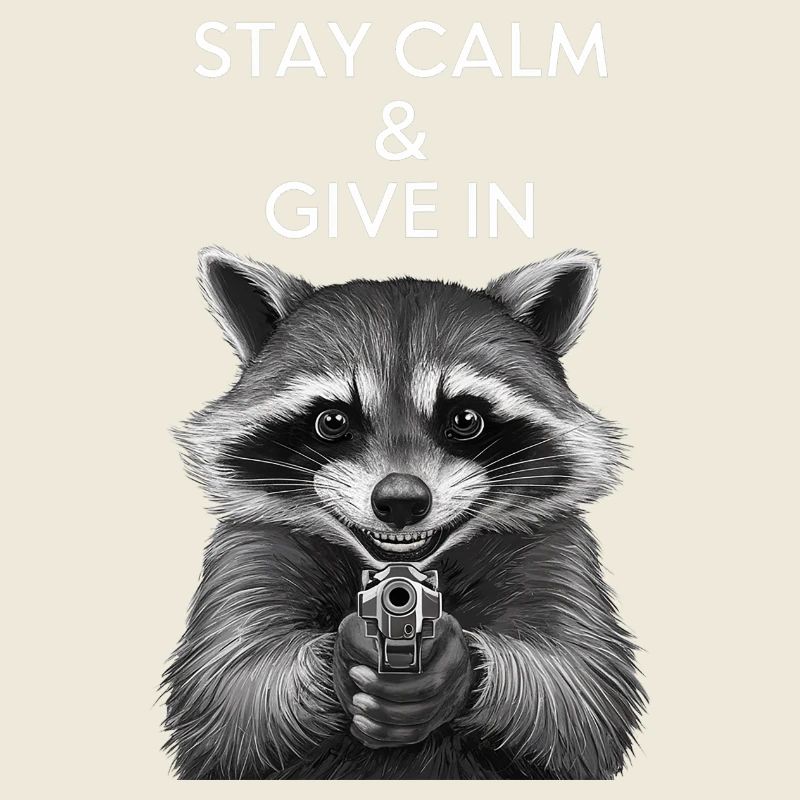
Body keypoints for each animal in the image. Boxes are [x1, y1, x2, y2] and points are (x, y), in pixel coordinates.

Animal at [162, 246, 646, 780]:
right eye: (333, 421)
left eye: (465, 418)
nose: (400, 500)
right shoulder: (250, 548)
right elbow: (229, 690)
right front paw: (336, 659)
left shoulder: (556, 548)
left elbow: (580, 689)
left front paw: (459, 667)